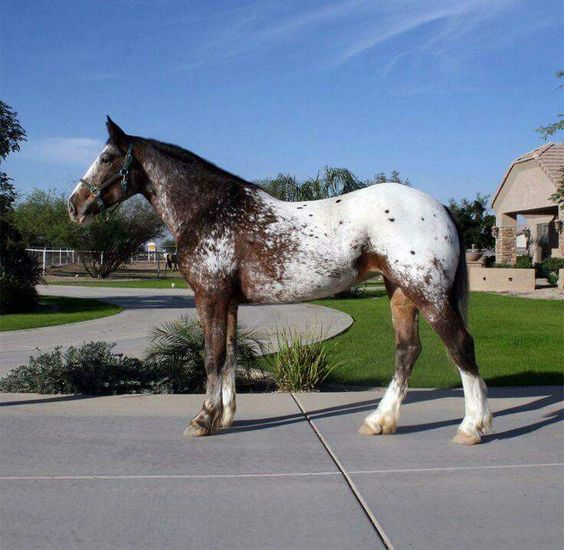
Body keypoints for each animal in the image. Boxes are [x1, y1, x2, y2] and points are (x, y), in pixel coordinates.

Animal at [67, 118, 494, 446]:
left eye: (106, 157)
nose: (73, 206)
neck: (209, 210)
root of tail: (439, 207)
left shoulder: (210, 297)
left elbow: (212, 356)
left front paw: (202, 420)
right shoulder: (229, 302)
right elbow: (230, 355)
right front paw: (225, 417)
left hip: (428, 293)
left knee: (460, 346)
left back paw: (472, 427)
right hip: (401, 292)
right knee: (407, 351)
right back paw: (379, 421)